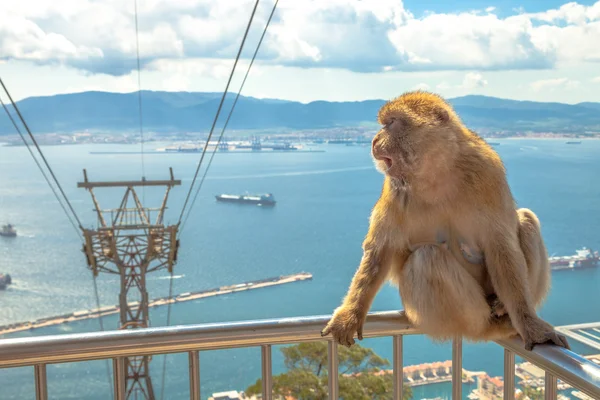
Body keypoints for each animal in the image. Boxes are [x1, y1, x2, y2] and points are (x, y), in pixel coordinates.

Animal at [322, 90, 568, 350]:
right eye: (384, 124)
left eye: (391, 123)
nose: (374, 141)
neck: (437, 173)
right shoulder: (395, 189)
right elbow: (381, 250)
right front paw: (350, 315)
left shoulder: (488, 172)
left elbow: (501, 247)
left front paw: (530, 324)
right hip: (450, 315)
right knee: (428, 257)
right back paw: (488, 321)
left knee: (526, 219)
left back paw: (504, 309)